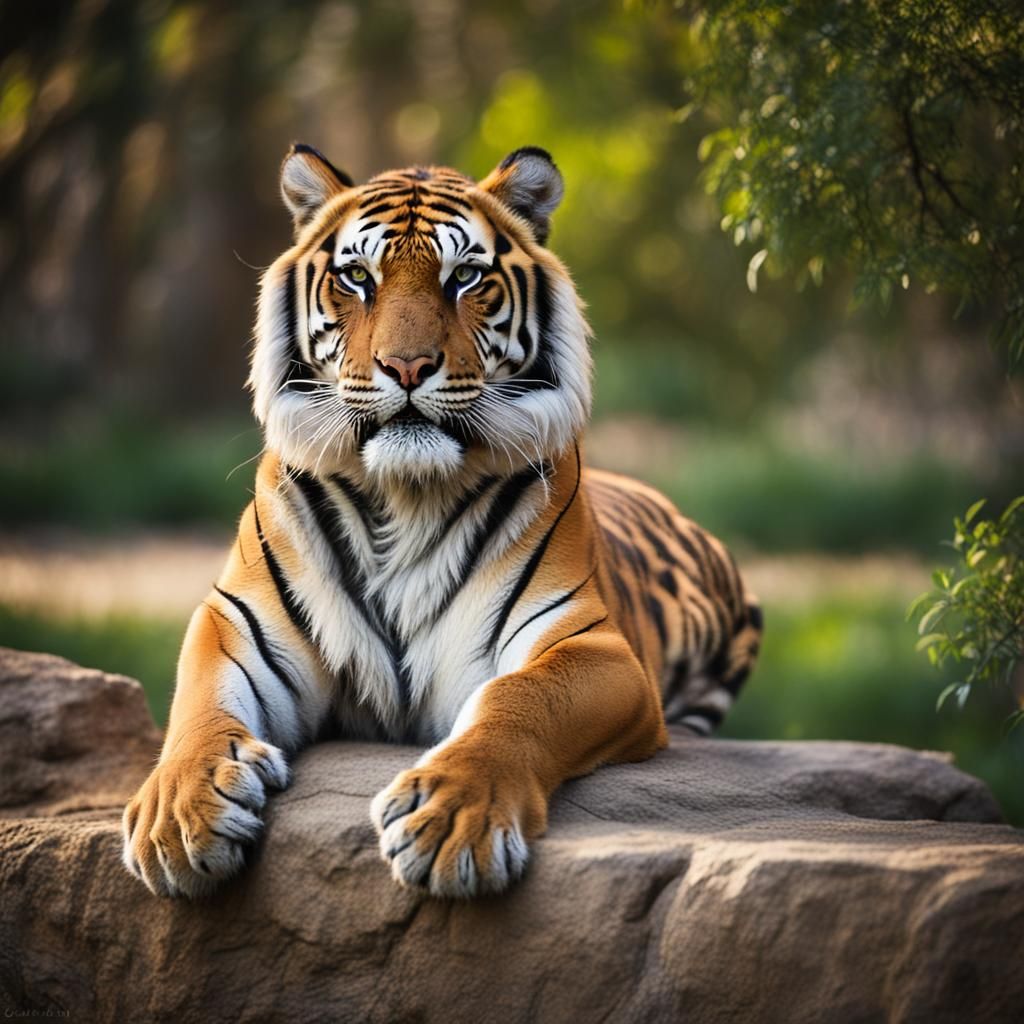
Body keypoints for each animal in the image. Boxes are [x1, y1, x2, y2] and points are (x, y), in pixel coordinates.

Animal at [121, 143, 762, 900]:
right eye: (357, 277)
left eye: (465, 278)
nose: (407, 366)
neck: (404, 496)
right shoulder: (238, 623)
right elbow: (199, 708)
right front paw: (181, 818)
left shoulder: (588, 644)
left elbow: (519, 700)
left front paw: (451, 821)